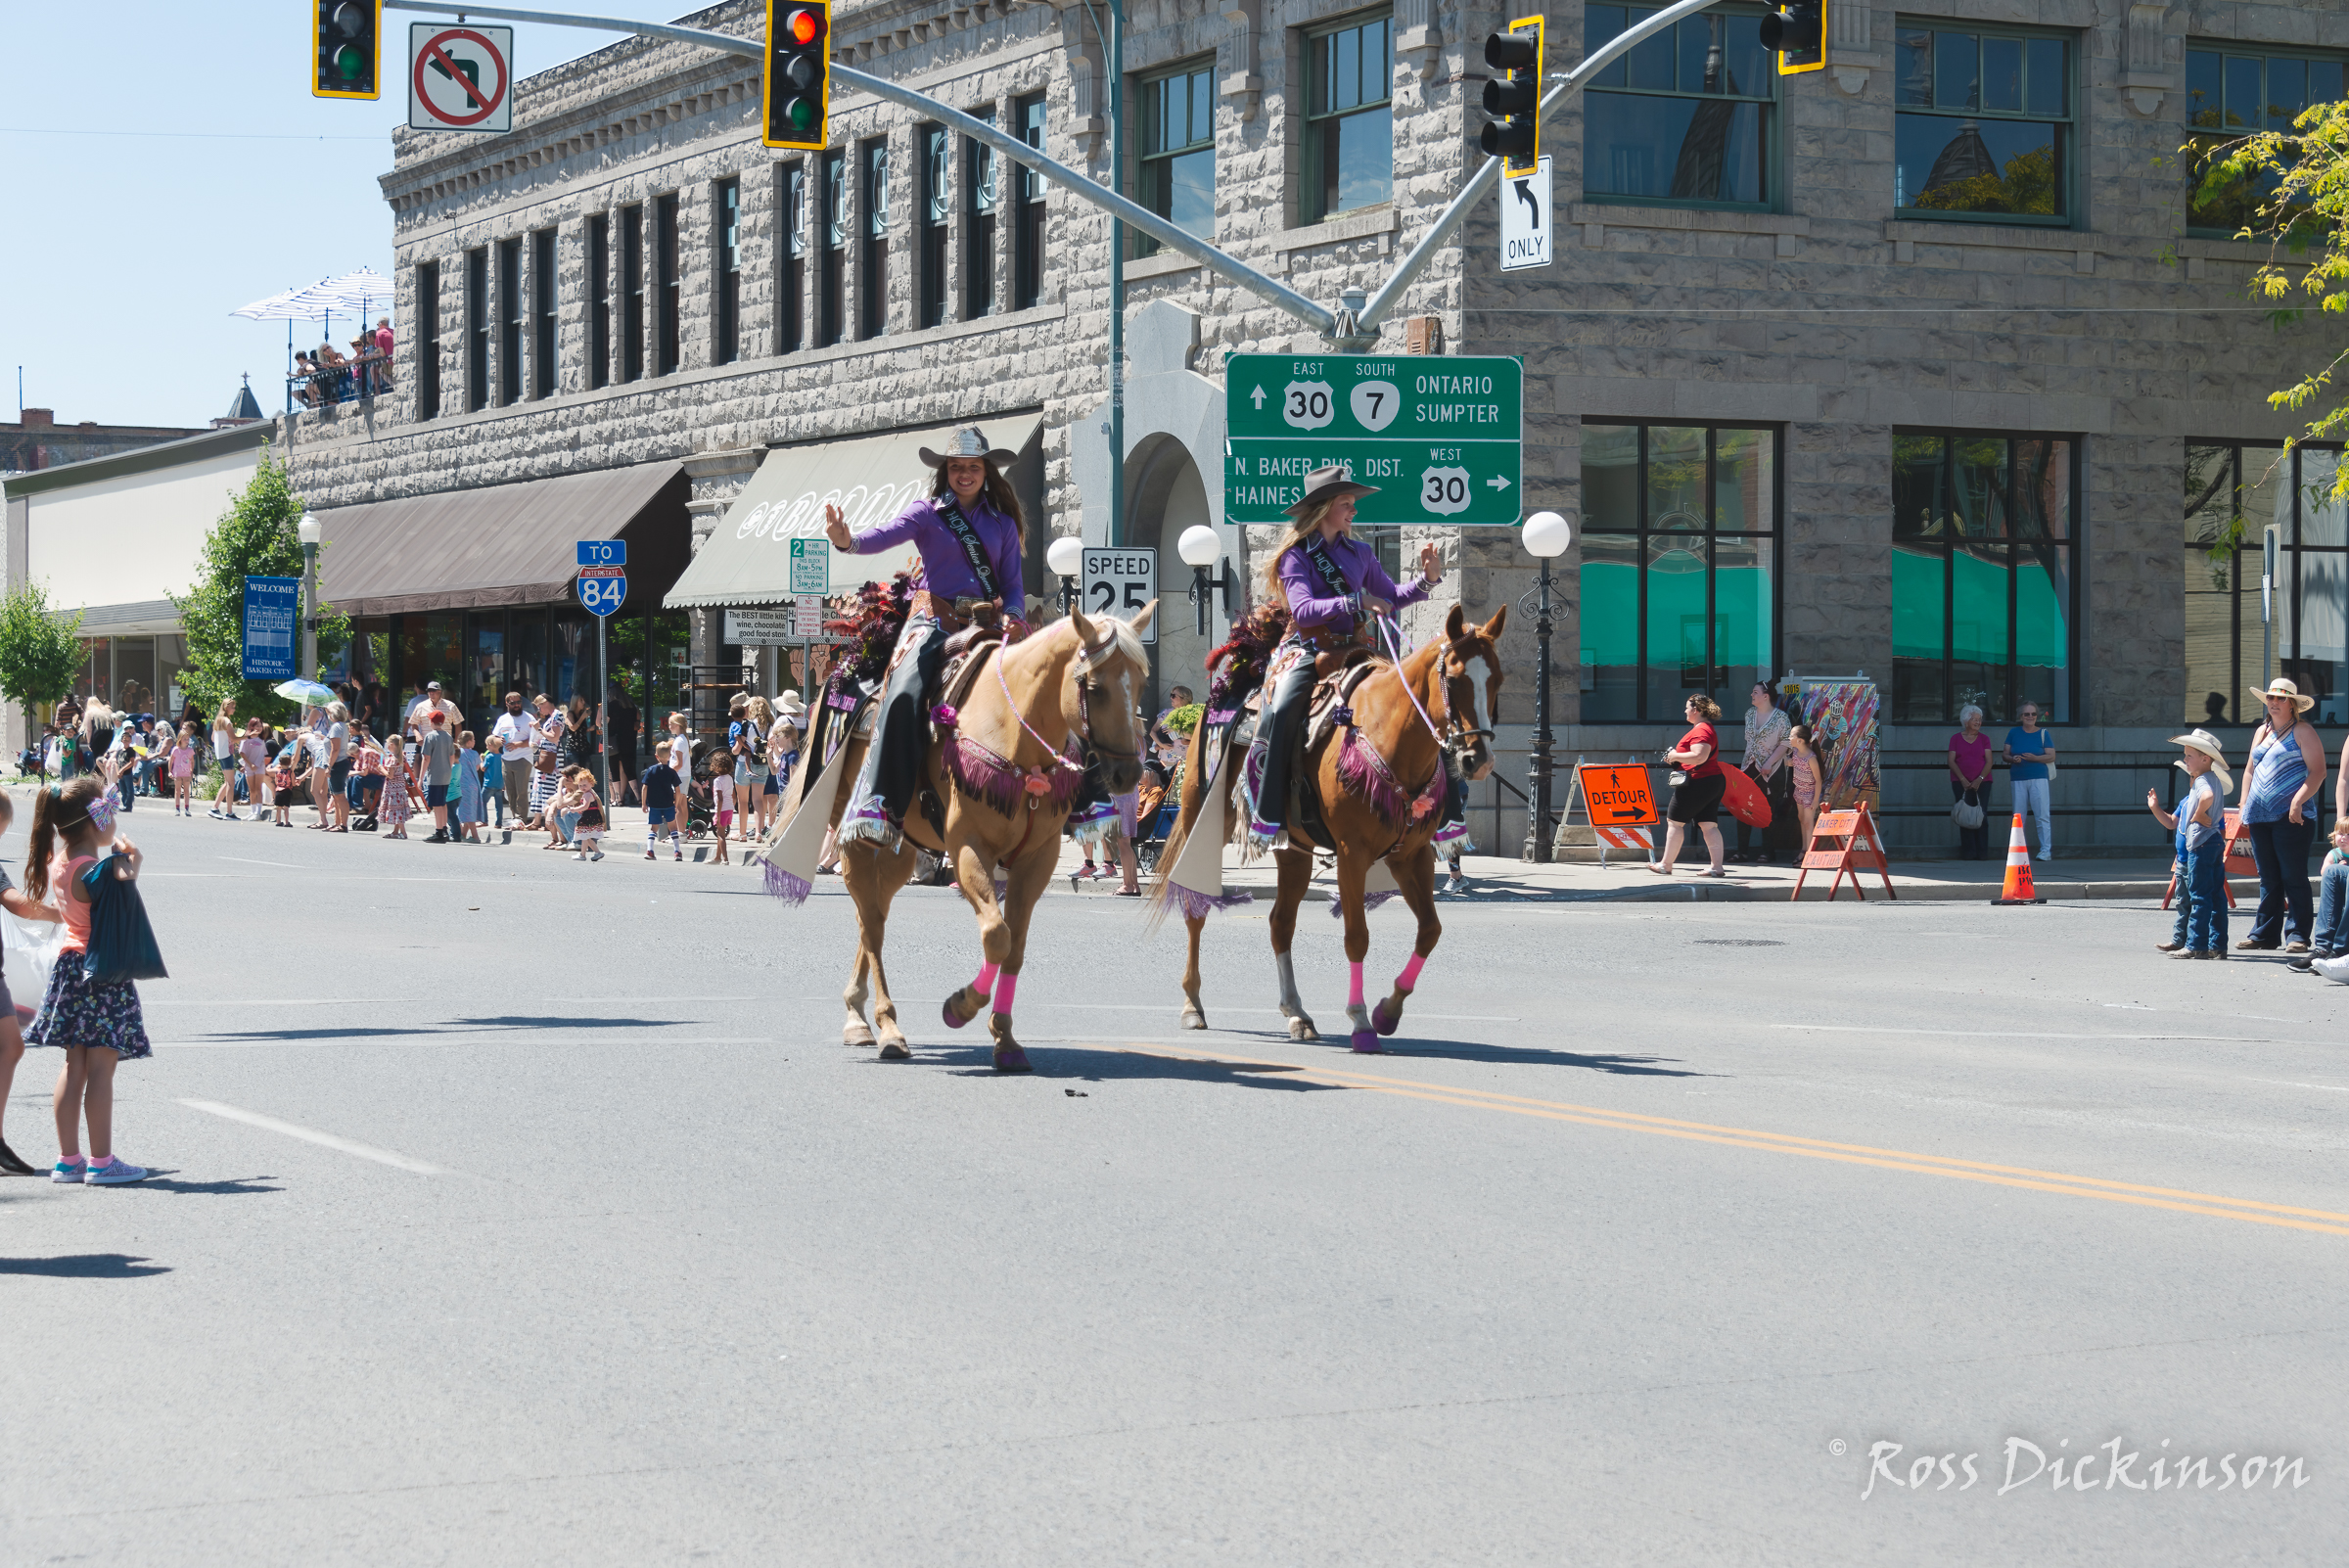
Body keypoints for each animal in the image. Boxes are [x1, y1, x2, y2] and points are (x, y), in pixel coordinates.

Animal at [803, 600, 1151, 1065]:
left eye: (1142, 682)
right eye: (1094, 688)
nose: (1128, 774)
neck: (1014, 733)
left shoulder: (1038, 858)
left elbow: (1015, 947)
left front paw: (1005, 1038)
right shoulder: (968, 848)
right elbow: (997, 936)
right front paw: (960, 1006)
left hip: (901, 850)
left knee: (872, 913)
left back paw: (858, 1016)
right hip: (858, 838)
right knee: (871, 923)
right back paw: (886, 1027)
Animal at [1151, 600, 1503, 1051]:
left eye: (1497, 680)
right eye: (1455, 678)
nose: (1479, 761)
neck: (1388, 733)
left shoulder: (1411, 855)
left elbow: (1430, 930)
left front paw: (1387, 1011)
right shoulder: (1353, 854)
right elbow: (1357, 936)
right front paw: (1361, 1021)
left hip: (1293, 849)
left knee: (1280, 923)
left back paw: (1297, 1014)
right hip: (1201, 818)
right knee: (1196, 907)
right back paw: (1193, 1005)